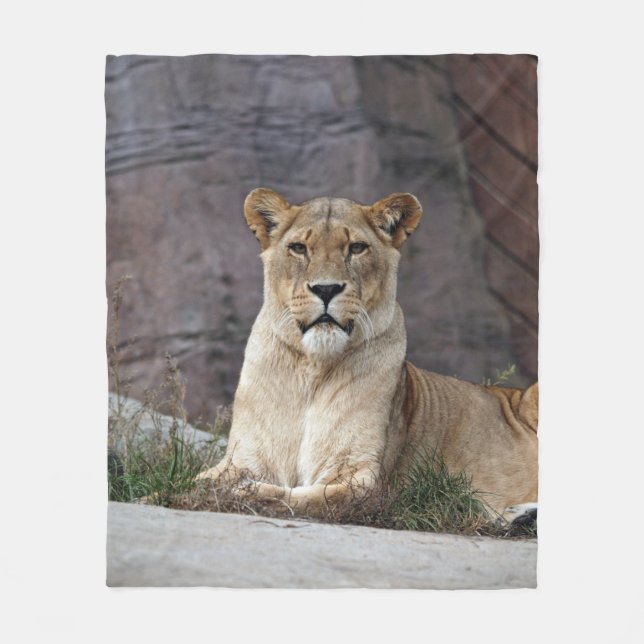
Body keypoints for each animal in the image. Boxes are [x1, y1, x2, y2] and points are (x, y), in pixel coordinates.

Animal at [197, 188, 538, 522]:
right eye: (298, 248)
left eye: (357, 248)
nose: (326, 289)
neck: (312, 369)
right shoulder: (243, 458)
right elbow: (201, 479)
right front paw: (217, 487)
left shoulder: (365, 481)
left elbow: (305, 498)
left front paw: (244, 492)